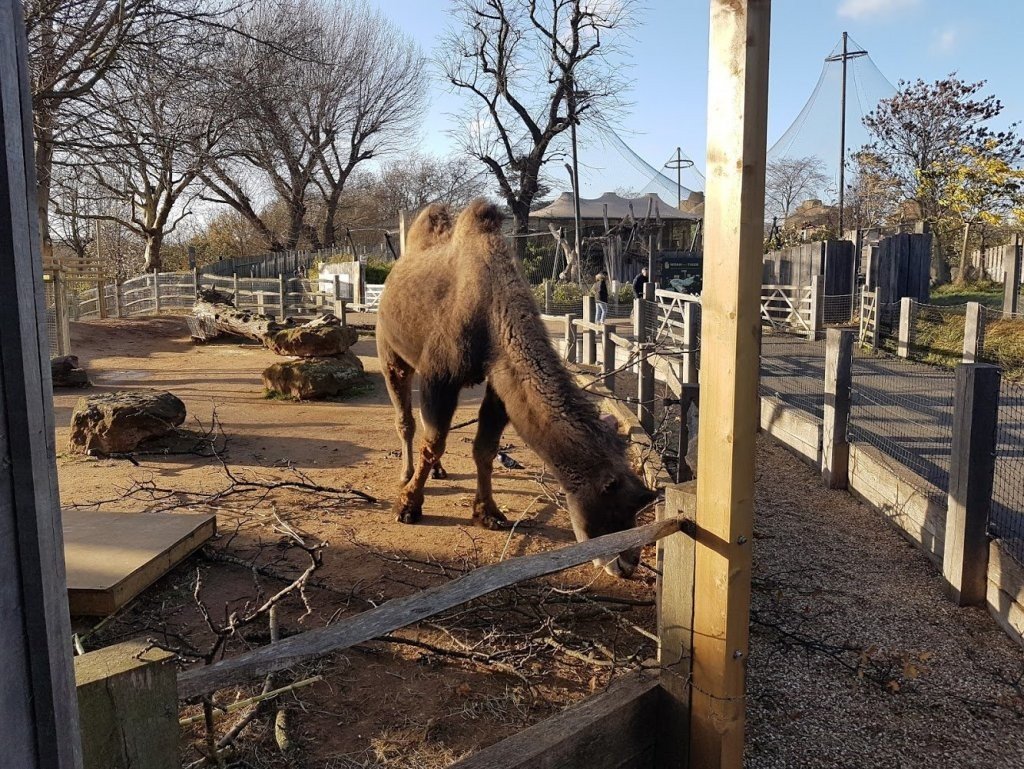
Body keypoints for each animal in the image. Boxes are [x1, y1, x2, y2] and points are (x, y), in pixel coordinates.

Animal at [376, 199, 655, 577]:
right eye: (615, 500)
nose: (628, 564)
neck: (492, 316)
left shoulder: (500, 382)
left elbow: (485, 448)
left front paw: (488, 513)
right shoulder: (440, 375)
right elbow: (433, 442)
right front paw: (407, 506)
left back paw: (438, 471)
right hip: (390, 350)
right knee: (406, 420)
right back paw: (406, 474)